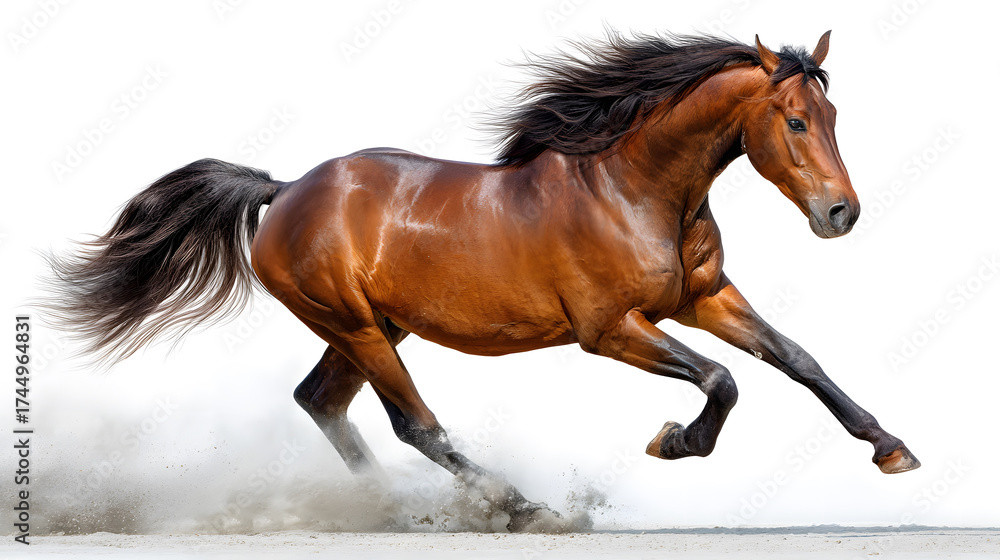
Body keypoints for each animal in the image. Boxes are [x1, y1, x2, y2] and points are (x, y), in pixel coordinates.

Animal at [42, 31, 920, 530]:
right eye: (796, 120)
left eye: (834, 117)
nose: (841, 213)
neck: (635, 190)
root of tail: (284, 189)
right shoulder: (609, 330)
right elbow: (723, 379)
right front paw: (675, 442)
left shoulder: (703, 299)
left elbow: (797, 359)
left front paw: (892, 449)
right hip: (354, 326)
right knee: (415, 425)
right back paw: (522, 509)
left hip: (373, 328)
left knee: (322, 402)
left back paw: (395, 513)